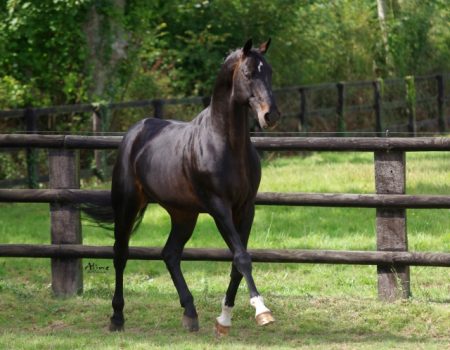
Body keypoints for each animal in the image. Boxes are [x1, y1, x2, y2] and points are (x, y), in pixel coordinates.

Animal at [102, 38, 280, 334]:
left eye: (269, 72)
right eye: (247, 74)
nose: (271, 115)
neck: (226, 144)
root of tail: (136, 131)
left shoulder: (246, 208)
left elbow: (237, 260)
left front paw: (224, 319)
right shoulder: (219, 207)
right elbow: (242, 258)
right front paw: (262, 312)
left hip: (183, 214)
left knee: (170, 254)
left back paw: (190, 313)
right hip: (127, 205)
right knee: (120, 254)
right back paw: (117, 317)